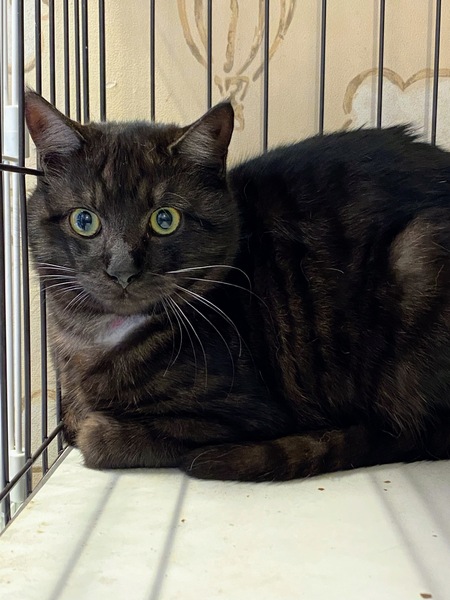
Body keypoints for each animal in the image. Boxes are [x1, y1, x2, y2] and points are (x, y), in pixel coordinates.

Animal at [25, 90, 450, 481]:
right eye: (85, 220)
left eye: (165, 219)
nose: (122, 270)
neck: (92, 336)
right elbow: (69, 413)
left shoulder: (243, 414)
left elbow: (99, 436)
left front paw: (98, 430)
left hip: (418, 256)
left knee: (411, 434)